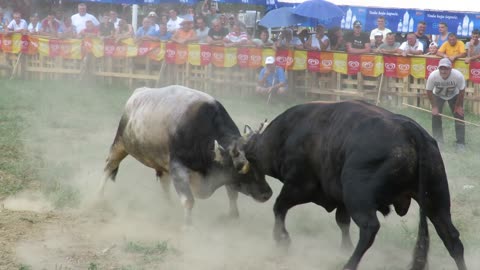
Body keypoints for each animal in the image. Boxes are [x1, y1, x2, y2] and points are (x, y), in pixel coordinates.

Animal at [244, 100, 464, 268]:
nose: (264, 193)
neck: (286, 133)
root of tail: (411, 131)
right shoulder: (340, 199)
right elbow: (342, 221)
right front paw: (344, 247)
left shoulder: (300, 185)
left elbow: (279, 207)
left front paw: (281, 239)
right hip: (436, 201)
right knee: (451, 238)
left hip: (358, 197)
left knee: (369, 228)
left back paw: (349, 264)